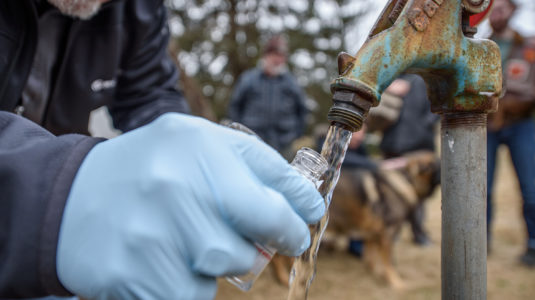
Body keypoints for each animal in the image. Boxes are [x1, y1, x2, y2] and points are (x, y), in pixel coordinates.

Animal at [270, 150, 438, 288]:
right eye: (437, 165)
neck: (406, 178)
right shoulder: (387, 234)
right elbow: (389, 263)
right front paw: (396, 283)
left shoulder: (372, 233)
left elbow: (371, 257)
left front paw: (374, 272)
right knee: (277, 258)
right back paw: (283, 278)